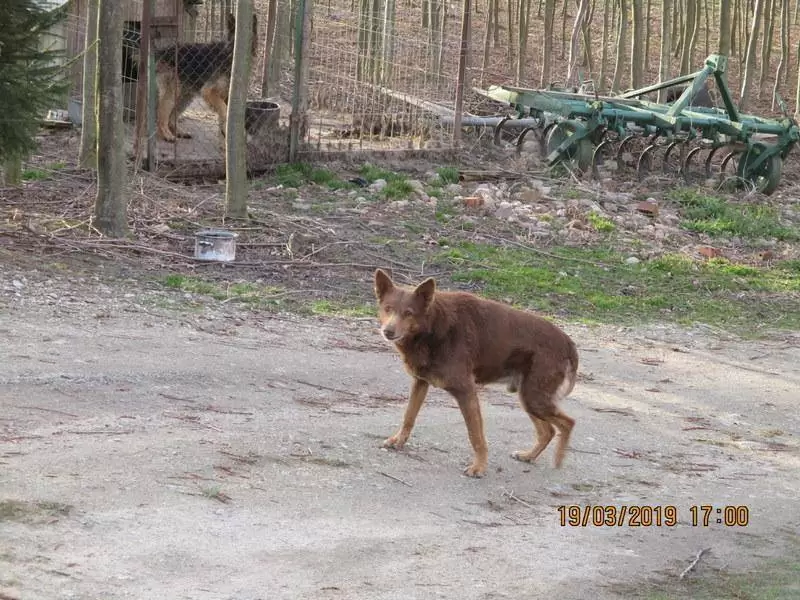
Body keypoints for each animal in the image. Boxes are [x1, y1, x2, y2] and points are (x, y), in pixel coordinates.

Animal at [154, 12, 258, 142]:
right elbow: (224, 111)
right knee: (161, 115)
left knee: (172, 118)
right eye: (236, 41)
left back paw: (179, 132)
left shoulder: (226, 96)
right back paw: (166, 135)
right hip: (173, 94)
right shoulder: (209, 92)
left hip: (185, 97)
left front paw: (225, 137)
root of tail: (163, 51)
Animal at [373, 269, 579, 478]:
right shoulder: (420, 382)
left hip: (534, 397)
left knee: (568, 423)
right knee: (548, 431)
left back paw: (558, 460)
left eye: (409, 313)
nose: (387, 331)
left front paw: (479, 467)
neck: (432, 329)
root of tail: (568, 342)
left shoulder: (466, 391)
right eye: (388, 308)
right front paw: (398, 440)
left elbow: (476, 435)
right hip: (529, 398)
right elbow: (409, 416)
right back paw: (528, 456)